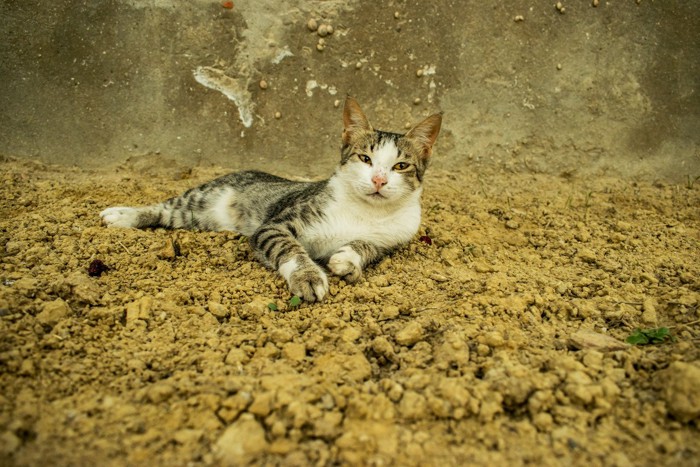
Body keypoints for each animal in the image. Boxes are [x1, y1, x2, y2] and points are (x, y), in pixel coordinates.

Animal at [101, 98, 440, 304]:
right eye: (365, 158)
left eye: (401, 166)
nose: (379, 180)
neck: (366, 211)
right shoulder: (276, 224)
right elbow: (289, 247)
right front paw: (308, 276)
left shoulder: (393, 238)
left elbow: (367, 247)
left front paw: (347, 259)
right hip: (200, 200)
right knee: (162, 209)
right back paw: (121, 215)